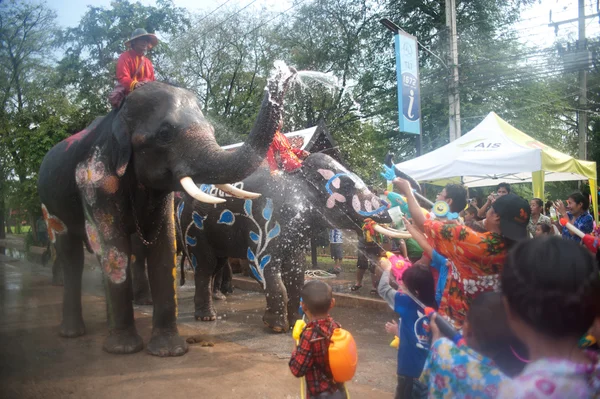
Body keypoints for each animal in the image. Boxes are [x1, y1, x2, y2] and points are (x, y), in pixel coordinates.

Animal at [37, 64, 298, 358]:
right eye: (164, 134)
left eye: (212, 129)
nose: (287, 69)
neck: (120, 116)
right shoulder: (96, 180)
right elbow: (114, 247)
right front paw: (125, 349)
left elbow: (163, 248)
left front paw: (170, 351)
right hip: (50, 203)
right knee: (71, 253)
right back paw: (73, 332)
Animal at [175, 152, 408, 332]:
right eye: (347, 185)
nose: (389, 213)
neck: (298, 176)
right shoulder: (265, 221)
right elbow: (261, 264)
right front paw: (276, 327)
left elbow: (296, 270)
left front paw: (296, 322)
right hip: (193, 228)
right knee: (205, 266)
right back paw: (207, 317)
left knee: (216, 265)